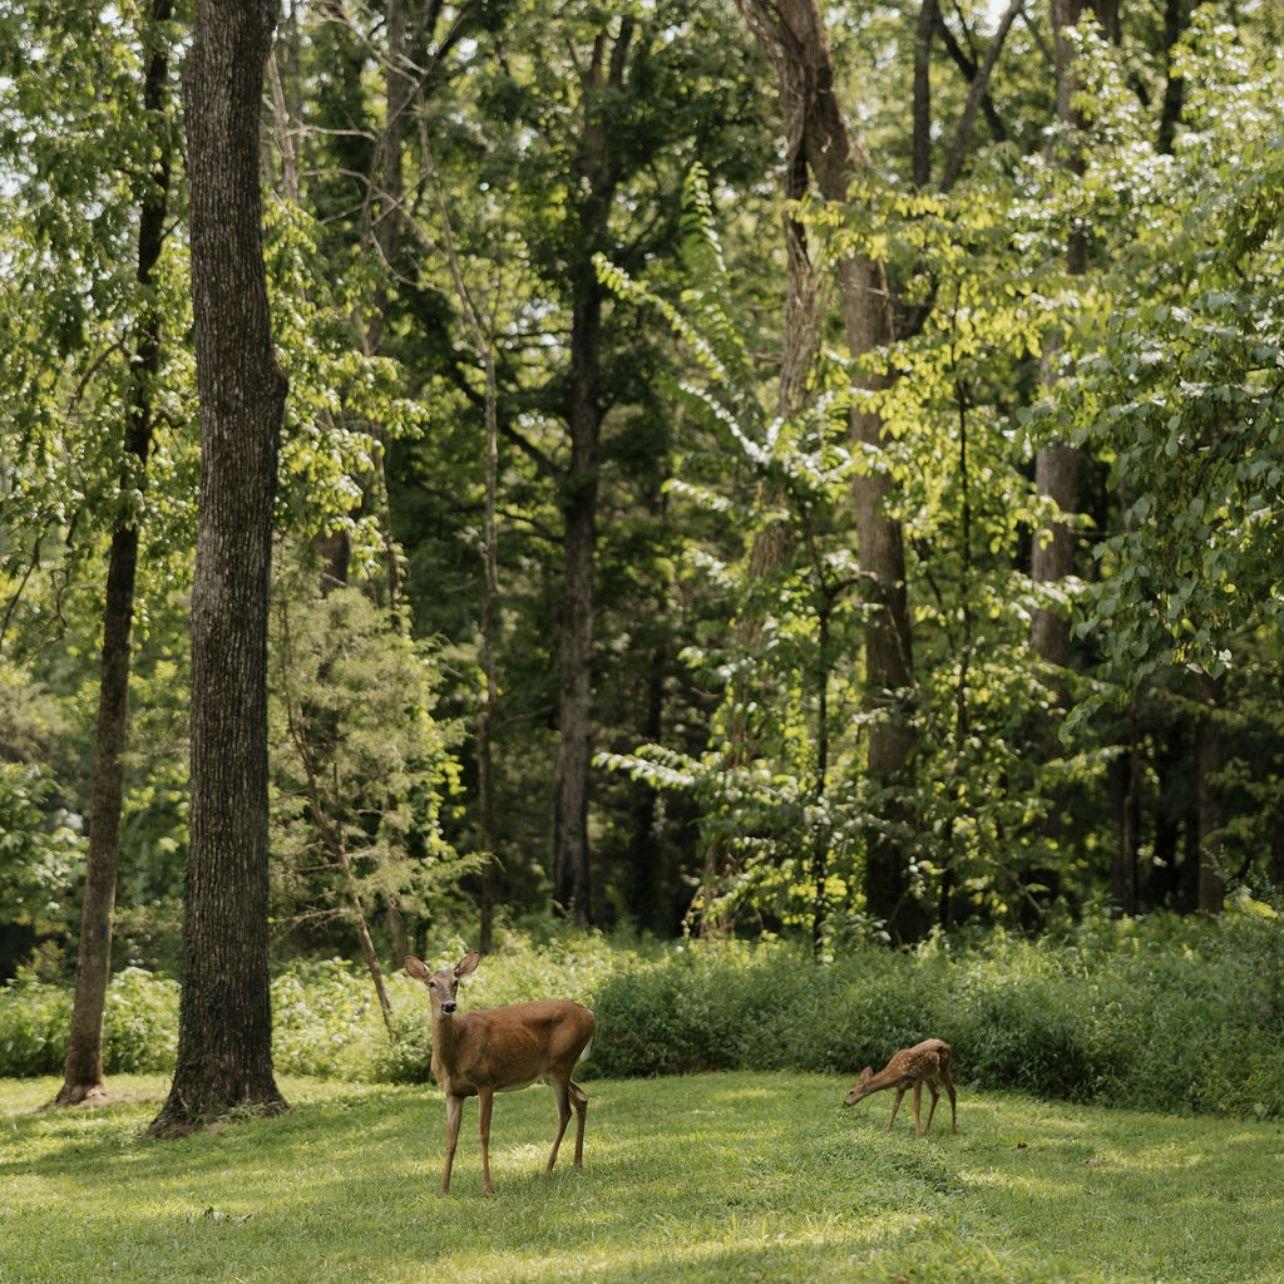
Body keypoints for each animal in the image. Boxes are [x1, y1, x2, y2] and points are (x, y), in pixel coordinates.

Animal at [404, 951, 596, 1195]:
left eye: (456, 982)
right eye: (431, 984)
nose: (449, 1005)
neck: (454, 1053)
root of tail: (590, 1015)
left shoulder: (486, 1081)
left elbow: (484, 1133)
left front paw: (488, 1187)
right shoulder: (452, 1093)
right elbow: (450, 1140)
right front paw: (444, 1188)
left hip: (561, 1062)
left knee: (564, 1112)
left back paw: (548, 1169)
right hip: (548, 1072)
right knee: (581, 1097)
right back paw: (577, 1163)